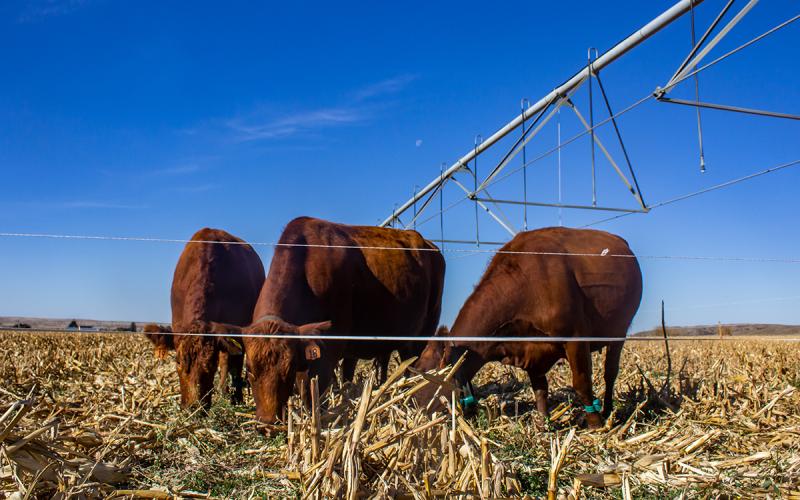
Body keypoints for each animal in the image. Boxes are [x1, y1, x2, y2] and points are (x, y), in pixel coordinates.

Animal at [169, 228, 266, 409]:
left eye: (210, 366)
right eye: (178, 362)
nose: (194, 408)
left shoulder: (237, 328)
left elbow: (235, 365)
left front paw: (237, 399)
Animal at [211, 217, 445, 423]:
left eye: (287, 371)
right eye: (249, 370)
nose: (268, 424)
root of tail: (429, 245)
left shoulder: (329, 348)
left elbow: (314, 393)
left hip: (419, 337)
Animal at [415, 227, 642, 429]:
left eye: (422, 372)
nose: (411, 412)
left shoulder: (575, 338)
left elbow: (581, 383)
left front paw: (595, 424)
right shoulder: (532, 351)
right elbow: (540, 389)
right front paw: (543, 425)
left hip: (618, 332)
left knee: (610, 373)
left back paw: (607, 409)